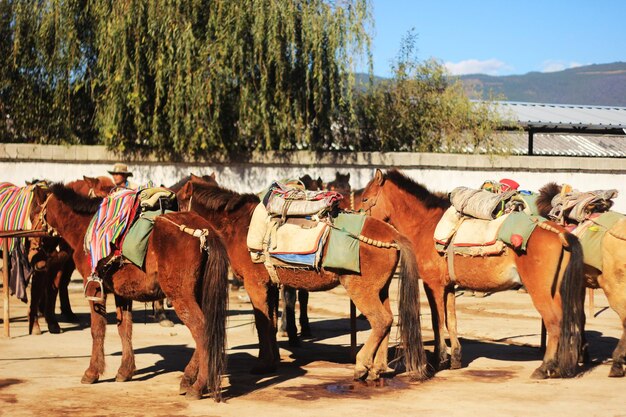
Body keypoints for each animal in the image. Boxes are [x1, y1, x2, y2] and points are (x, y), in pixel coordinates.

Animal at [34, 183, 229, 400]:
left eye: (35, 211)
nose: (36, 251)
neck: (87, 227)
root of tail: (206, 232)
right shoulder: (122, 293)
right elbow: (124, 329)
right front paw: (125, 371)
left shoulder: (93, 288)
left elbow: (97, 330)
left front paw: (92, 372)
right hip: (198, 294)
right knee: (206, 330)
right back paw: (187, 379)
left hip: (180, 296)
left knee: (201, 329)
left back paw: (197, 386)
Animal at [176, 179, 428, 380]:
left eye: (177, 201)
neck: (238, 224)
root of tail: (393, 234)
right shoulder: (271, 286)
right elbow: (270, 321)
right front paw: (273, 359)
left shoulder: (254, 284)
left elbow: (261, 322)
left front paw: (263, 364)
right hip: (380, 289)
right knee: (388, 321)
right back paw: (377, 367)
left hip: (361, 290)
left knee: (381, 320)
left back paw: (361, 365)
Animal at [358, 168, 584, 376]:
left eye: (365, 198)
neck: (425, 225)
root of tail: (560, 233)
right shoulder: (449, 287)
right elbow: (451, 321)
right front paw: (455, 359)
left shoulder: (433, 285)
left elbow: (437, 321)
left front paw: (440, 359)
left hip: (541, 291)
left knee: (554, 323)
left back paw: (546, 367)